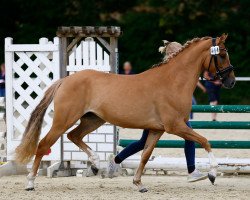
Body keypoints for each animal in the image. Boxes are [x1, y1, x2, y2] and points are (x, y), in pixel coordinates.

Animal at [15, 33, 234, 191]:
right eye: (222, 54)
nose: (231, 81)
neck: (173, 81)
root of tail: (65, 80)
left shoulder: (157, 129)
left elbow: (145, 154)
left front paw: (139, 184)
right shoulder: (175, 126)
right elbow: (205, 140)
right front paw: (212, 173)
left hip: (92, 120)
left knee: (74, 136)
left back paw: (96, 164)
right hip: (63, 120)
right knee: (43, 145)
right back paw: (30, 182)